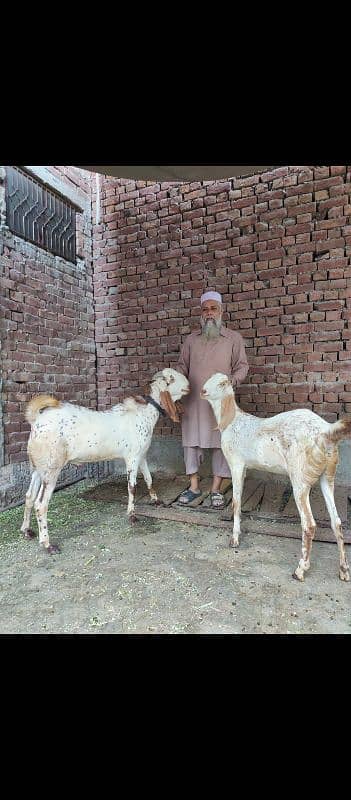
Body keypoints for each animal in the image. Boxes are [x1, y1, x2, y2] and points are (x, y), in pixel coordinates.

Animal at [20, 368, 191, 552]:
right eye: (171, 378)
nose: (189, 385)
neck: (144, 413)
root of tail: (37, 420)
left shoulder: (142, 455)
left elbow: (149, 478)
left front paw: (156, 500)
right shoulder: (132, 458)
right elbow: (132, 487)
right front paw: (132, 515)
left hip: (38, 468)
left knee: (29, 496)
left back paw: (26, 530)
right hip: (52, 467)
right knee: (40, 504)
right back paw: (47, 544)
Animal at [201, 376, 351, 580]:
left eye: (221, 383)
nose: (202, 391)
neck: (233, 420)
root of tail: (326, 431)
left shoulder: (236, 464)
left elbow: (236, 503)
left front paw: (234, 539)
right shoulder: (245, 467)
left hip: (300, 478)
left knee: (309, 524)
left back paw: (300, 570)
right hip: (327, 475)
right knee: (337, 523)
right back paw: (343, 570)